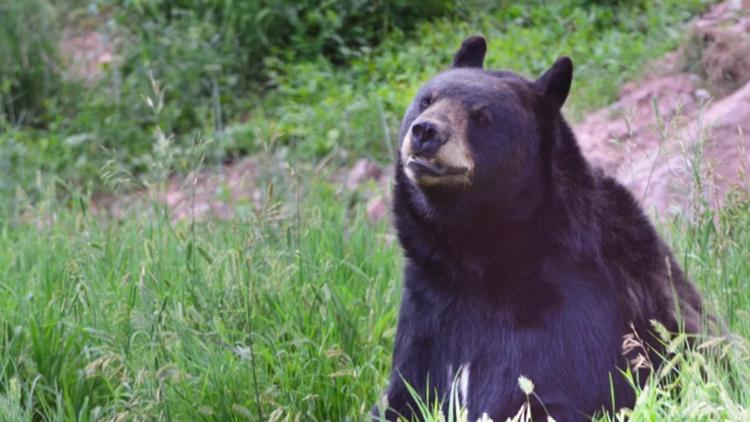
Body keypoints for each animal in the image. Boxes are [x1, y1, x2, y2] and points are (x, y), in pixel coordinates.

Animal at [374, 36, 704, 421]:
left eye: (482, 116)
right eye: (427, 99)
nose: (426, 131)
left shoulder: (566, 305)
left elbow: (540, 392)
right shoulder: (426, 312)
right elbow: (403, 394)